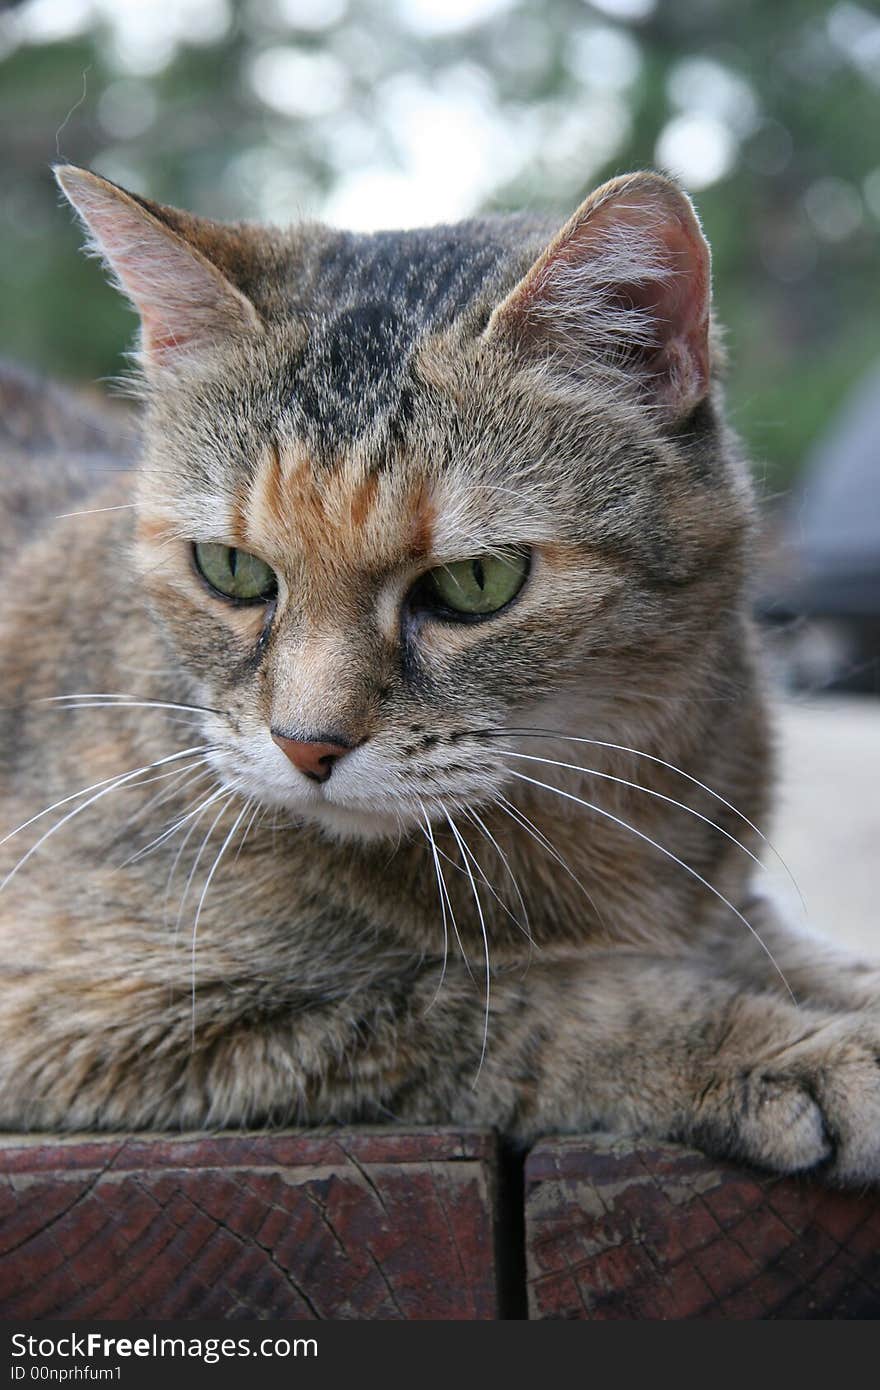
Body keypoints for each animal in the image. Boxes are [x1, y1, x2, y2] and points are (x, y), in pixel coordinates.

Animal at [0, 162, 873, 1184]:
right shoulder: (93, 1006)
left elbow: (782, 946)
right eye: (231, 571)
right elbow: (541, 1002)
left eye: (476, 582)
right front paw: (795, 1049)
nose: (306, 747)